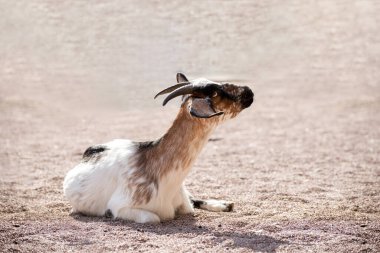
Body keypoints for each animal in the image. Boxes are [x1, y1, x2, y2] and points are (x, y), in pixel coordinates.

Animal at [63, 73, 254, 223]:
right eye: (214, 92)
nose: (249, 92)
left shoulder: (183, 201)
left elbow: (190, 206)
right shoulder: (121, 207)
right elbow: (153, 218)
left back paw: (225, 204)